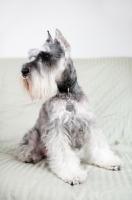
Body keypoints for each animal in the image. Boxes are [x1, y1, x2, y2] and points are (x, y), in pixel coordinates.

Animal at [15, 29, 121, 184]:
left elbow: (98, 144)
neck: (67, 94)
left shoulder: (89, 123)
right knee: (23, 148)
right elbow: (64, 154)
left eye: (46, 56)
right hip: (34, 133)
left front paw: (109, 161)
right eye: (34, 56)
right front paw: (73, 174)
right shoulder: (56, 128)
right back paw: (31, 156)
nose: (24, 71)